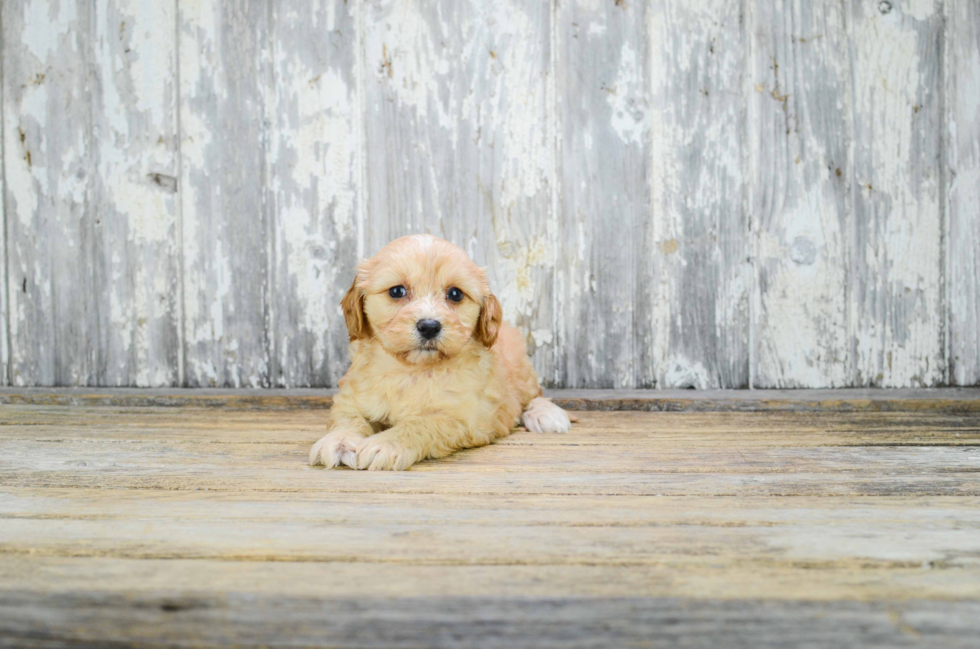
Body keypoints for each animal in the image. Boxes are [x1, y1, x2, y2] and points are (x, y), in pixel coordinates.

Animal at [310, 233, 572, 470]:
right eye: (396, 291)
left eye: (455, 294)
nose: (429, 326)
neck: (412, 371)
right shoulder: (351, 398)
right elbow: (349, 418)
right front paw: (340, 441)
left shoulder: (463, 417)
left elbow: (423, 423)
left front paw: (386, 444)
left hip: (522, 369)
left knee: (533, 395)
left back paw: (546, 415)